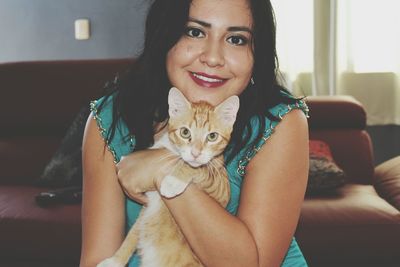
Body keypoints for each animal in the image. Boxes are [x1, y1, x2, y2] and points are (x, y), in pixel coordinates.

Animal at [97, 88, 239, 267]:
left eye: (212, 136)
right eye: (185, 132)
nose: (195, 153)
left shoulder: (220, 187)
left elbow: (197, 167)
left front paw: (173, 181)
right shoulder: (147, 205)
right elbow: (134, 231)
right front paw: (115, 261)